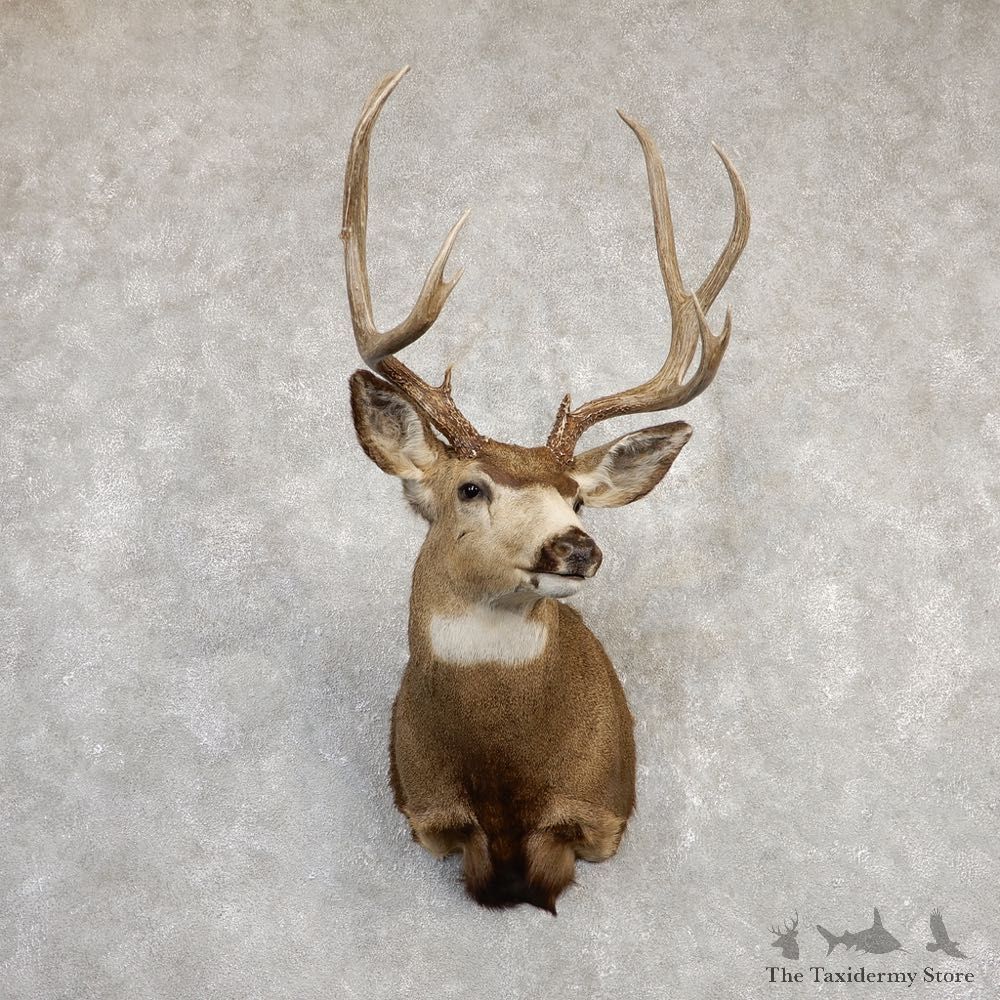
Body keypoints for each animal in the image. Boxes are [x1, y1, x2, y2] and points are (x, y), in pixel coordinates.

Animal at [342, 67, 749, 914]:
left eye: (580, 497)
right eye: (470, 487)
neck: (506, 782)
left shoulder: (601, 812)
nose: (576, 547)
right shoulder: (425, 810)